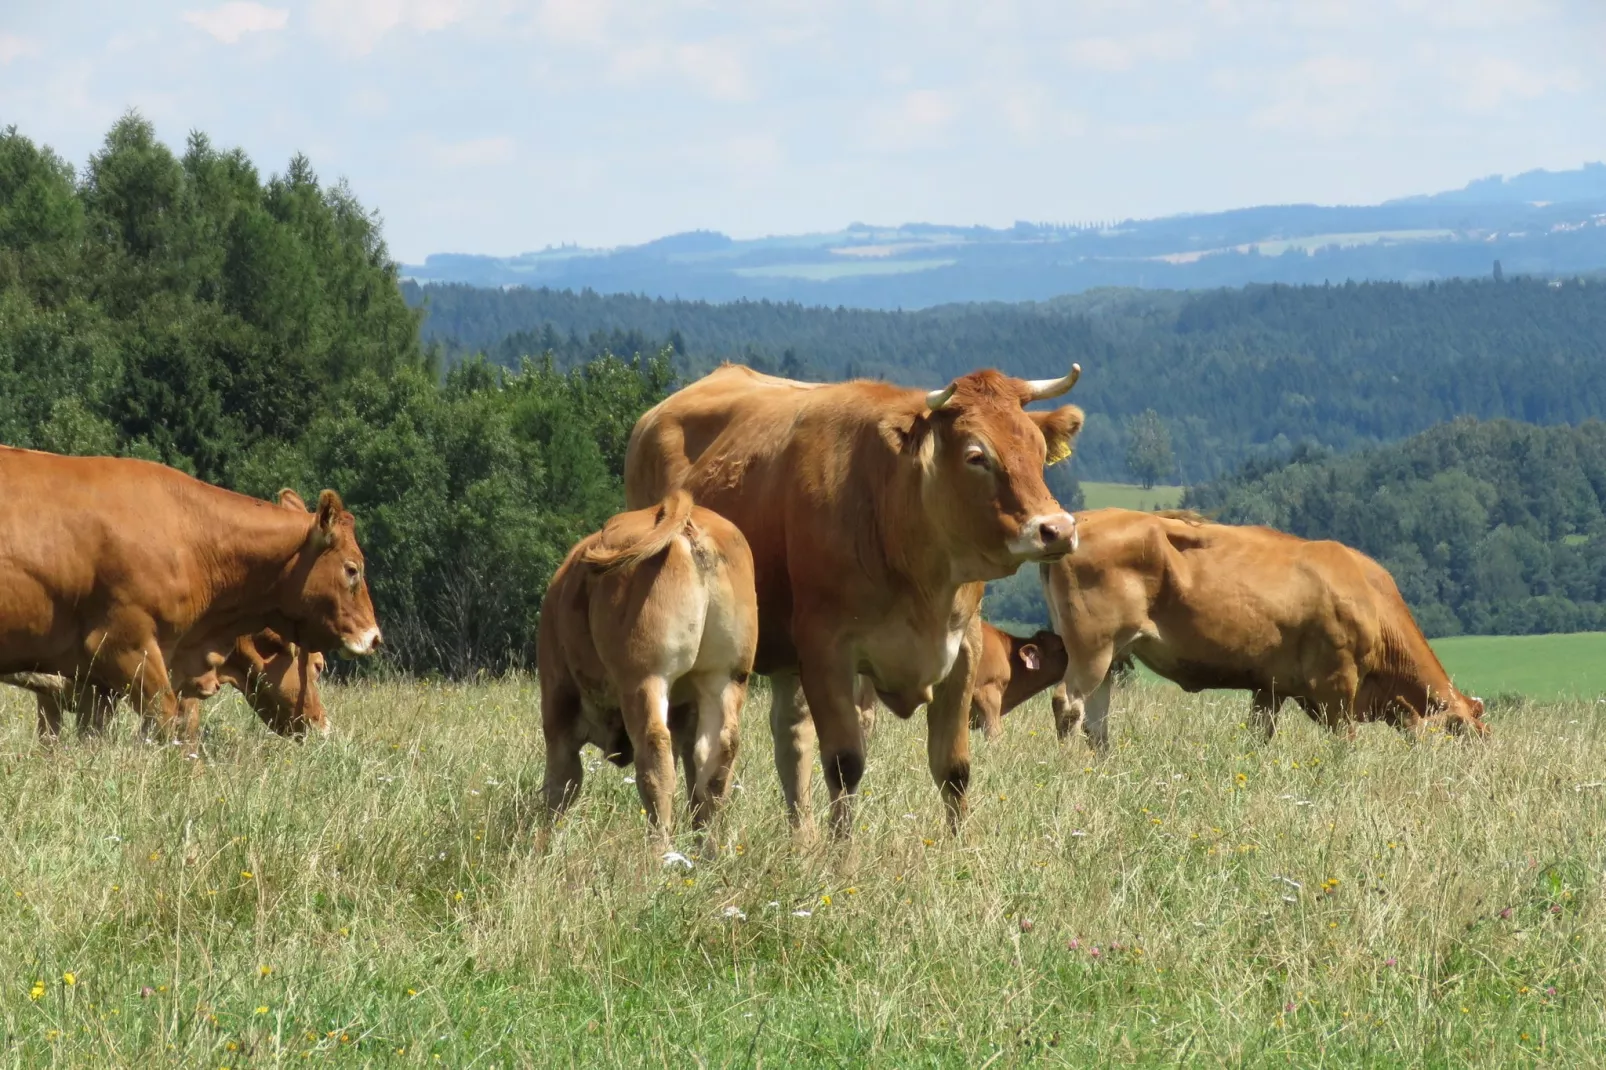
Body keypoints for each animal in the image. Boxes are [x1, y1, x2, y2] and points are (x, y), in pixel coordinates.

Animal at [539, 488, 758, 835]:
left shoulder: (557, 699)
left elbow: (560, 787)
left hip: (645, 679)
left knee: (656, 758)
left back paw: (658, 847)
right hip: (725, 677)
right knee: (715, 761)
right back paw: (708, 846)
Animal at [619, 363, 1085, 829]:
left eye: (1039, 449)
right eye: (976, 456)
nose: (1057, 529)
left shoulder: (964, 649)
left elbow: (954, 769)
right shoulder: (827, 651)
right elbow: (845, 765)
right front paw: (842, 850)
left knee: (790, 740)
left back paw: (802, 839)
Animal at [1040, 507, 1490, 742]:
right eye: (1467, 736)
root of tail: (1078, 521)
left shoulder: (1270, 687)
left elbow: (1259, 737)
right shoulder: (1337, 685)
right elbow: (1344, 744)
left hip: (1111, 655)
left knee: (1096, 720)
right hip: (1092, 647)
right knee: (1068, 704)